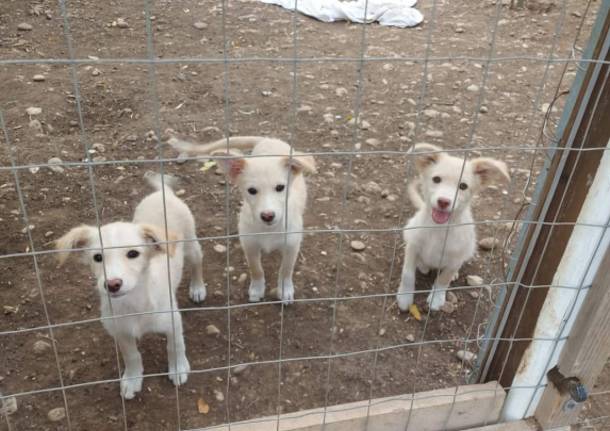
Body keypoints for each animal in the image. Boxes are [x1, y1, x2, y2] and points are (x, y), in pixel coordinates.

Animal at [169, 137, 316, 306]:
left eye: (280, 187)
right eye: (252, 190)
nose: (268, 215)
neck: (268, 229)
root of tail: (269, 139)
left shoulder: (292, 246)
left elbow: (286, 270)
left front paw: (285, 291)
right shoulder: (249, 244)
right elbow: (256, 269)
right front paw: (257, 289)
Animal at [394, 144, 508, 310]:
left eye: (463, 186)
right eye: (436, 179)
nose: (443, 202)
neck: (439, 229)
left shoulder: (456, 258)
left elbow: (443, 279)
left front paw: (436, 298)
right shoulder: (413, 246)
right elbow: (407, 273)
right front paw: (405, 296)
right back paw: (423, 266)